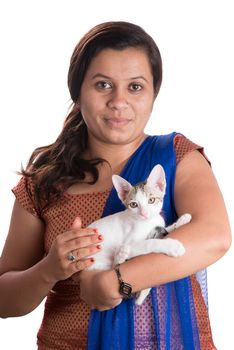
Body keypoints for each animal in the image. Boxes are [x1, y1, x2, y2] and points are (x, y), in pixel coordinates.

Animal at [87, 164, 191, 304]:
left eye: (151, 200)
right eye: (133, 204)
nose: (144, 214)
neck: (148, 222)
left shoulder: (158, 226)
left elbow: (165, 229)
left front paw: (181, 221)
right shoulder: (130, 242)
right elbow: (149, 243)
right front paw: (172, 246)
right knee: (114, 264)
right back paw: (120, 255)